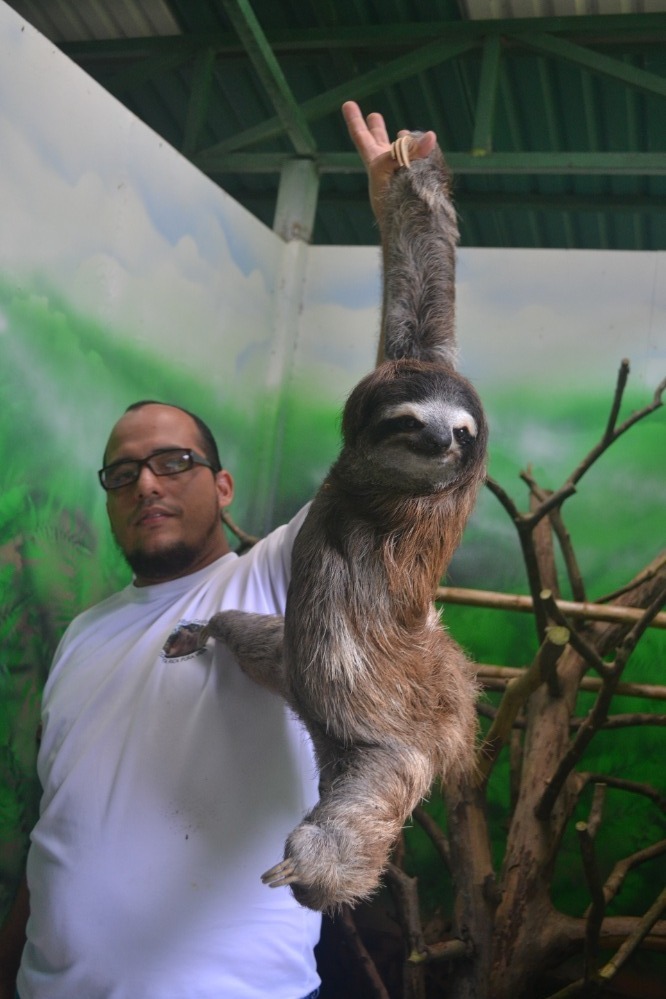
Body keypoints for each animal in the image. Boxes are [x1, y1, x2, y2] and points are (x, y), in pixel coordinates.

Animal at [201, 138, 488, 913]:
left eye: (461, 430)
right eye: (409, 420)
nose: (441, 443)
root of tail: (453, 710)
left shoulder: (387, 515)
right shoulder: (409, 366)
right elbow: (423, 303)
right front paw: (400, 170)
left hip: (398, 735)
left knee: (368, 794)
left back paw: (317, 865)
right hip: (309, 673)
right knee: (259, 638)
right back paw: (208, 630)